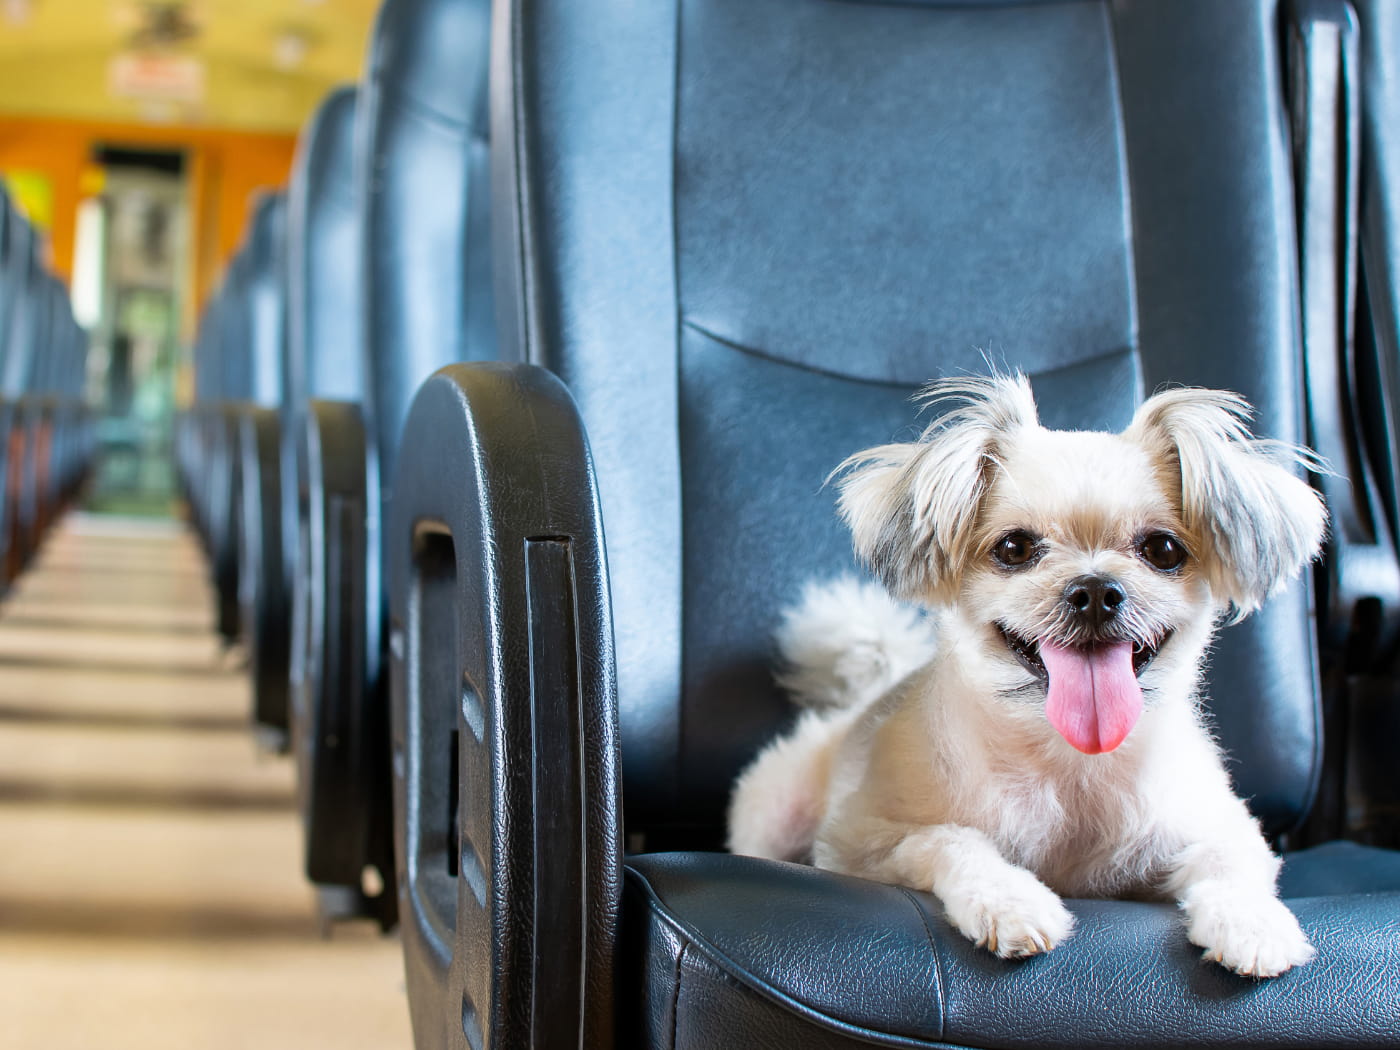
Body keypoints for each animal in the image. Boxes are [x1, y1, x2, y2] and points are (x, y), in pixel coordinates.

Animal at [728, 375, 1327, 985]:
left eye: (1162, 550)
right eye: (1015, 548)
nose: (1095, 589)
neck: (1069, 764)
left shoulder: (1223, 829)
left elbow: (1230, 866)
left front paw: (1251, 922)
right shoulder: (858, 843)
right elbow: (948, 838)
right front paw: (1009, 899)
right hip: (777, 816)